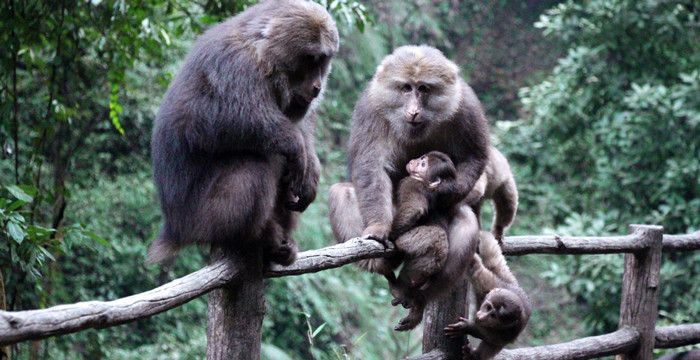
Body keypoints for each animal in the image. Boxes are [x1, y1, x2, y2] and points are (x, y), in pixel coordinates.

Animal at [149, 0, 340, 264]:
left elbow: (301, 128)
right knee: (253, 166)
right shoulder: (236, 64)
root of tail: (173, 229)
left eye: (323, 61)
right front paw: (294, 142)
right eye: (310, 59)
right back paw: (251, 238)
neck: (263, 56)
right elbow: (209, 119)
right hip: (201, 219)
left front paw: (311, 169)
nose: (316, 87)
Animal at [392, 150, 468, 330]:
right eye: (422, 159)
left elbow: (414, 209)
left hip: (424, 241)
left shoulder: (410, 183)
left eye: (423, 165)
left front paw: (387, 235)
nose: (414, 161)